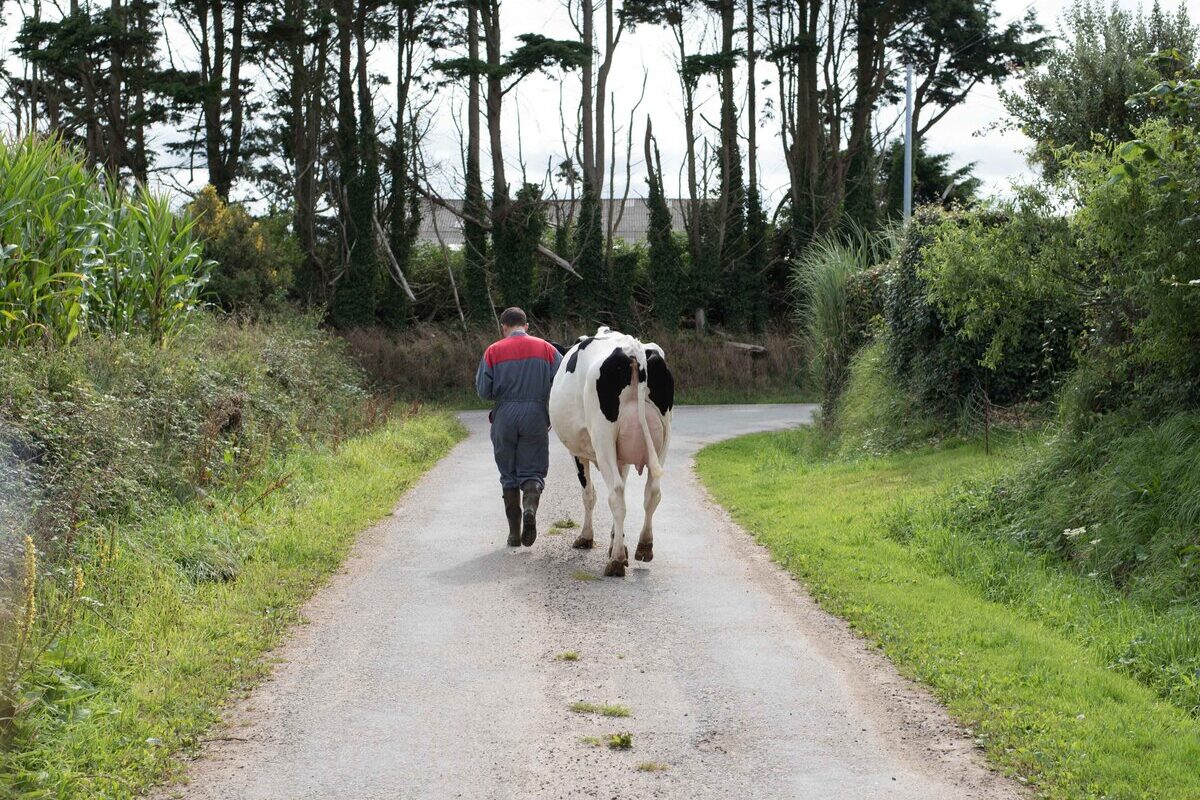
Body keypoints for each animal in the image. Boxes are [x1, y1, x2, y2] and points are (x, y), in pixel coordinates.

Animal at [547, 328, 672, 578]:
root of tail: (634, 348)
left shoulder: (577, 452)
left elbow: (589, 494)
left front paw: (587, 537)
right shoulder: (621, 455)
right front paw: (617, 540)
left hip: (603, 436)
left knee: (616, 493)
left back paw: (616, 561)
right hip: (664, 436)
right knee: (652, 492)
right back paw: (643, 546)